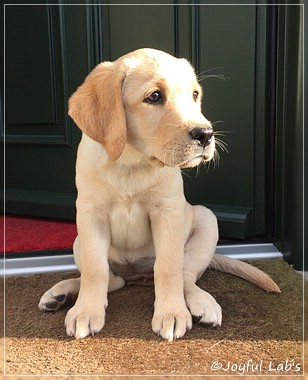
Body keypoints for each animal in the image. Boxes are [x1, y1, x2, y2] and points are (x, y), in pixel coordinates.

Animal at [38, 47, 280, 342]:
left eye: (195, 95)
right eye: (154, 97)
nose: (206, 134)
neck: (131, 162)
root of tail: (135, 275)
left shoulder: (168, 212)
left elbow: (168, 268)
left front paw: (171, 313)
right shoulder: (90, 214)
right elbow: (95, 270)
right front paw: (86, 311)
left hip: (206, 220)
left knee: (184, 276)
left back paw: (203, 303)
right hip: (77, 242)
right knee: (111, 279)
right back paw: (62, 292)